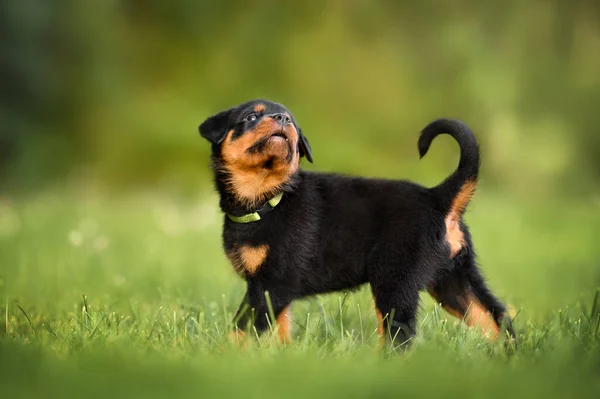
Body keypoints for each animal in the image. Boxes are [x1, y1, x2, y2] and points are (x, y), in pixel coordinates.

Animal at [200, 101, 516, 350]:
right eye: (251, 117)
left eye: (291, 121)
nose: (282, 119)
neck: (269, 198)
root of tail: (437, 196)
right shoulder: (273, 289)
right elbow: (278, 328)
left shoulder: (271, 284)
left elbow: (241, 328)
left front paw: (222, 356)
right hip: (454, 279)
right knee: (496, 318)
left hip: (395, 279)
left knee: (399, 335)